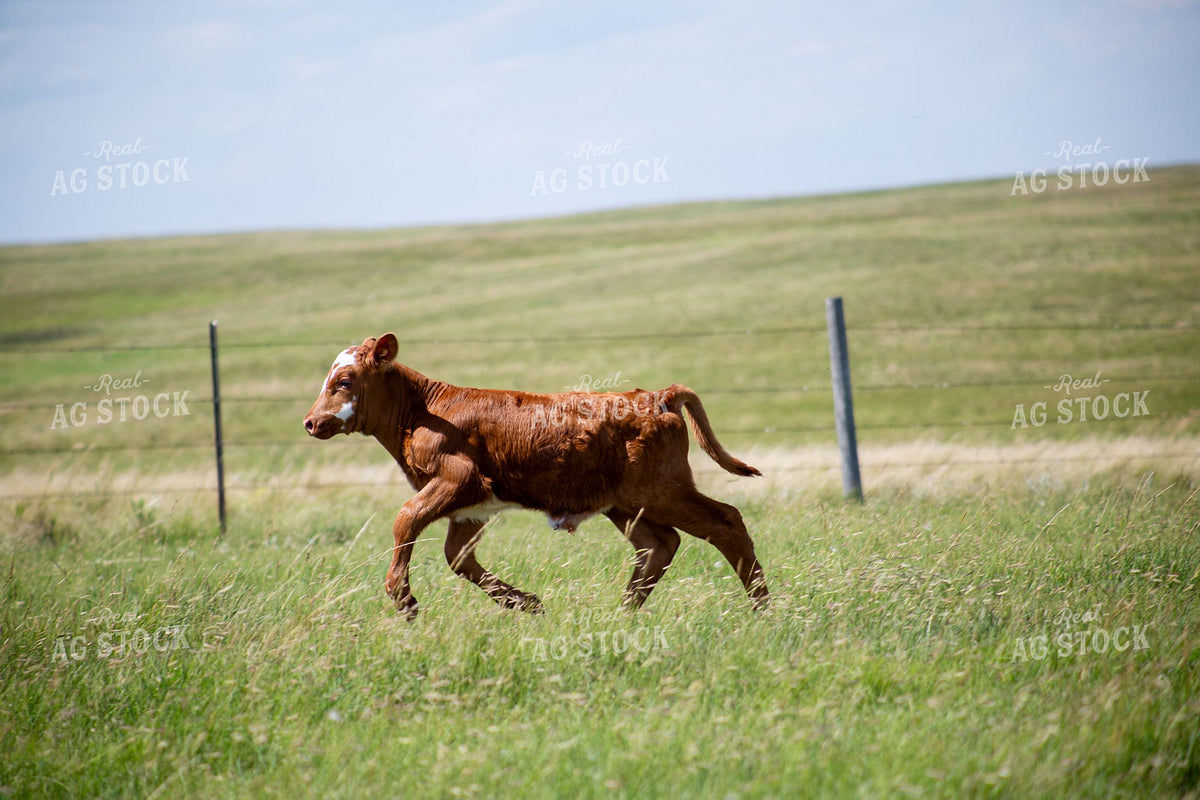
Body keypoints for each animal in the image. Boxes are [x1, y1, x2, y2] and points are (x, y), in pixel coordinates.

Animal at [303, 333, 769, 619]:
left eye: (344, 381)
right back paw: (622, 612)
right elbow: (459, 556)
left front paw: (404, 599)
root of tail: (657, 396)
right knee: (658, 544)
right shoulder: (471, 506)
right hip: (623, 503)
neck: (424, 411)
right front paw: (528, 603)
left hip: (661, 490)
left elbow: (406, 519)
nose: (310, 422)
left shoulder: (459, 479)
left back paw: (762, 608)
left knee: (725, 522)